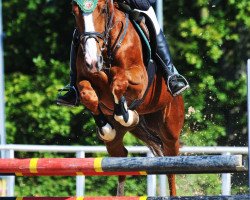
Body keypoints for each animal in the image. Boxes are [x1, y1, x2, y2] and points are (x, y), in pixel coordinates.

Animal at [71, 0, 185, 195]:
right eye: (75, 12)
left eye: (103, 10)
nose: (92, 61)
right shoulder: (84, 79)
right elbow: (88, 95)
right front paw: (106, 126)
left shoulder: (140, 79)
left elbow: (119, 82)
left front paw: (126, 113)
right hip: (118, 143)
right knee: (121, 157)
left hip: (170, 130)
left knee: (171, 166)